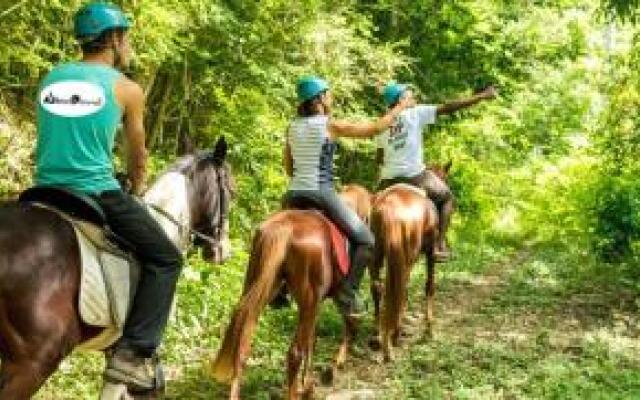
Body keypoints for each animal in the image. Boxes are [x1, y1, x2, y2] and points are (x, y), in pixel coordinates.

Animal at [210, 184, 370, 400]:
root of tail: (285, 229)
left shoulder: (316, 304)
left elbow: (312, 340)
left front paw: (307, 385)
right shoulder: (319, 301)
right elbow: (319, 337)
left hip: (258, 288)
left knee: (242, 345)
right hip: (307, 301)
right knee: (294, 352)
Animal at [368, 164, 452, 360]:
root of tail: (388, 208)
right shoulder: (429, 254)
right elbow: (429, 287)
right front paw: (429, 331)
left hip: (377, 255)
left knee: (379, 287)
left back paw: (379, 334)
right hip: (408, 257)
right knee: (400, 288)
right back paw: (394, 337)